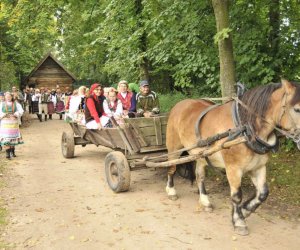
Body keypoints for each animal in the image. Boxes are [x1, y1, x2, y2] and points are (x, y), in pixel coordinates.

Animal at [165, 79, 300, 234]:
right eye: (297, 109)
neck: (244, 129)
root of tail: (179, 105)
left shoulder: (258, 167)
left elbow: (263, 193)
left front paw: (246, 210)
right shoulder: (233, 169)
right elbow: (236, 196)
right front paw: (239, 221)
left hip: (200, 155)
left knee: (200, 176)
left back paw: (205, 201)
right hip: (174, 148)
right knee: (171, 168)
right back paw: (171, 191)